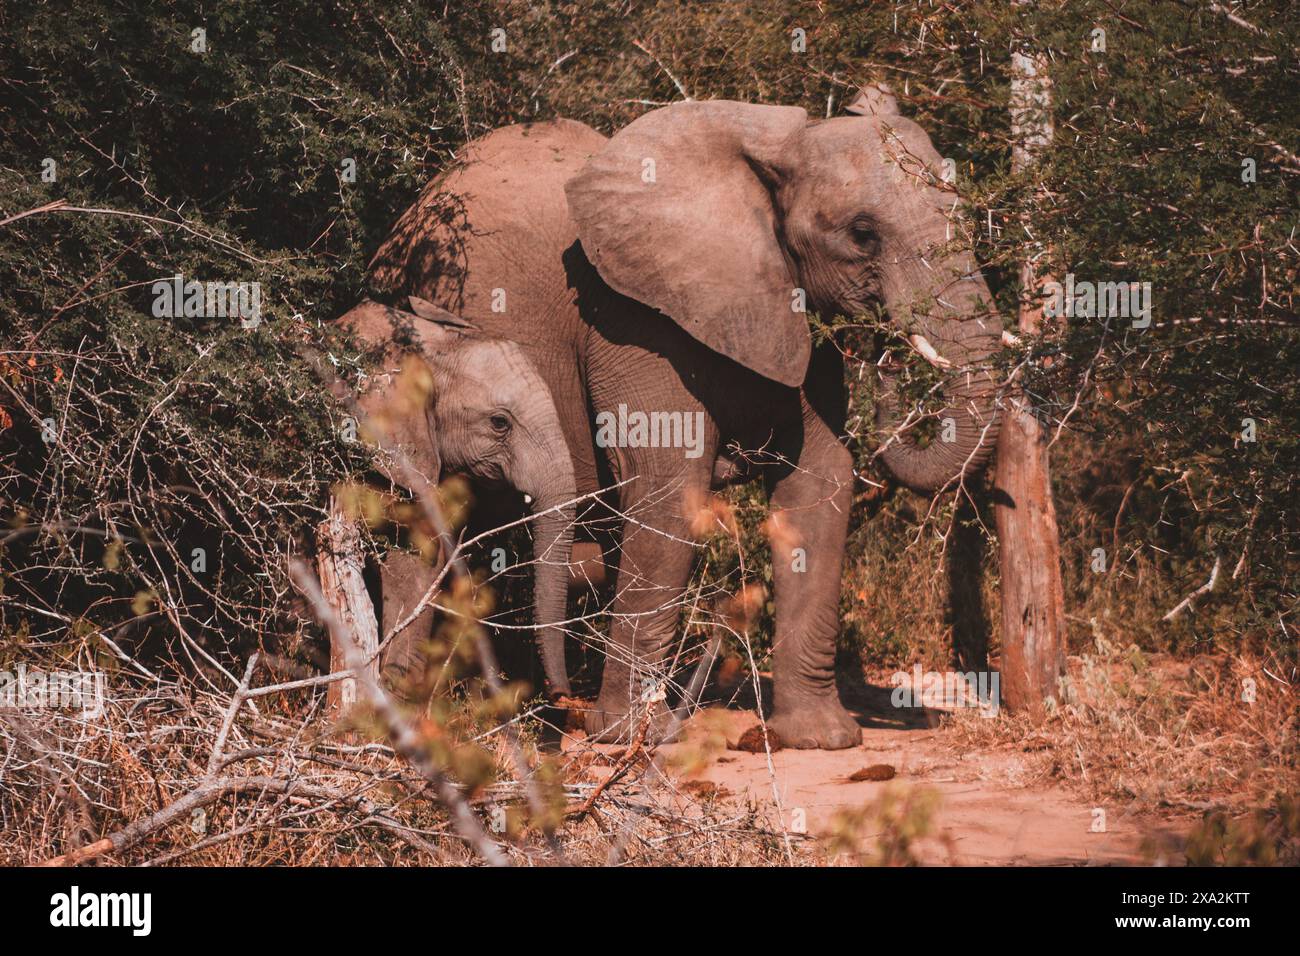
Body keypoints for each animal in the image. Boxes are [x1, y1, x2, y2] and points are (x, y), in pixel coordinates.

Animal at [367, 86, 1003, 748]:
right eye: (862, 234)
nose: (889, 350)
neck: (772, 150)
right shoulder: (633, 320)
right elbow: (670, 489)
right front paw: (630, 737)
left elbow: (820, 484)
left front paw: (821, 739)